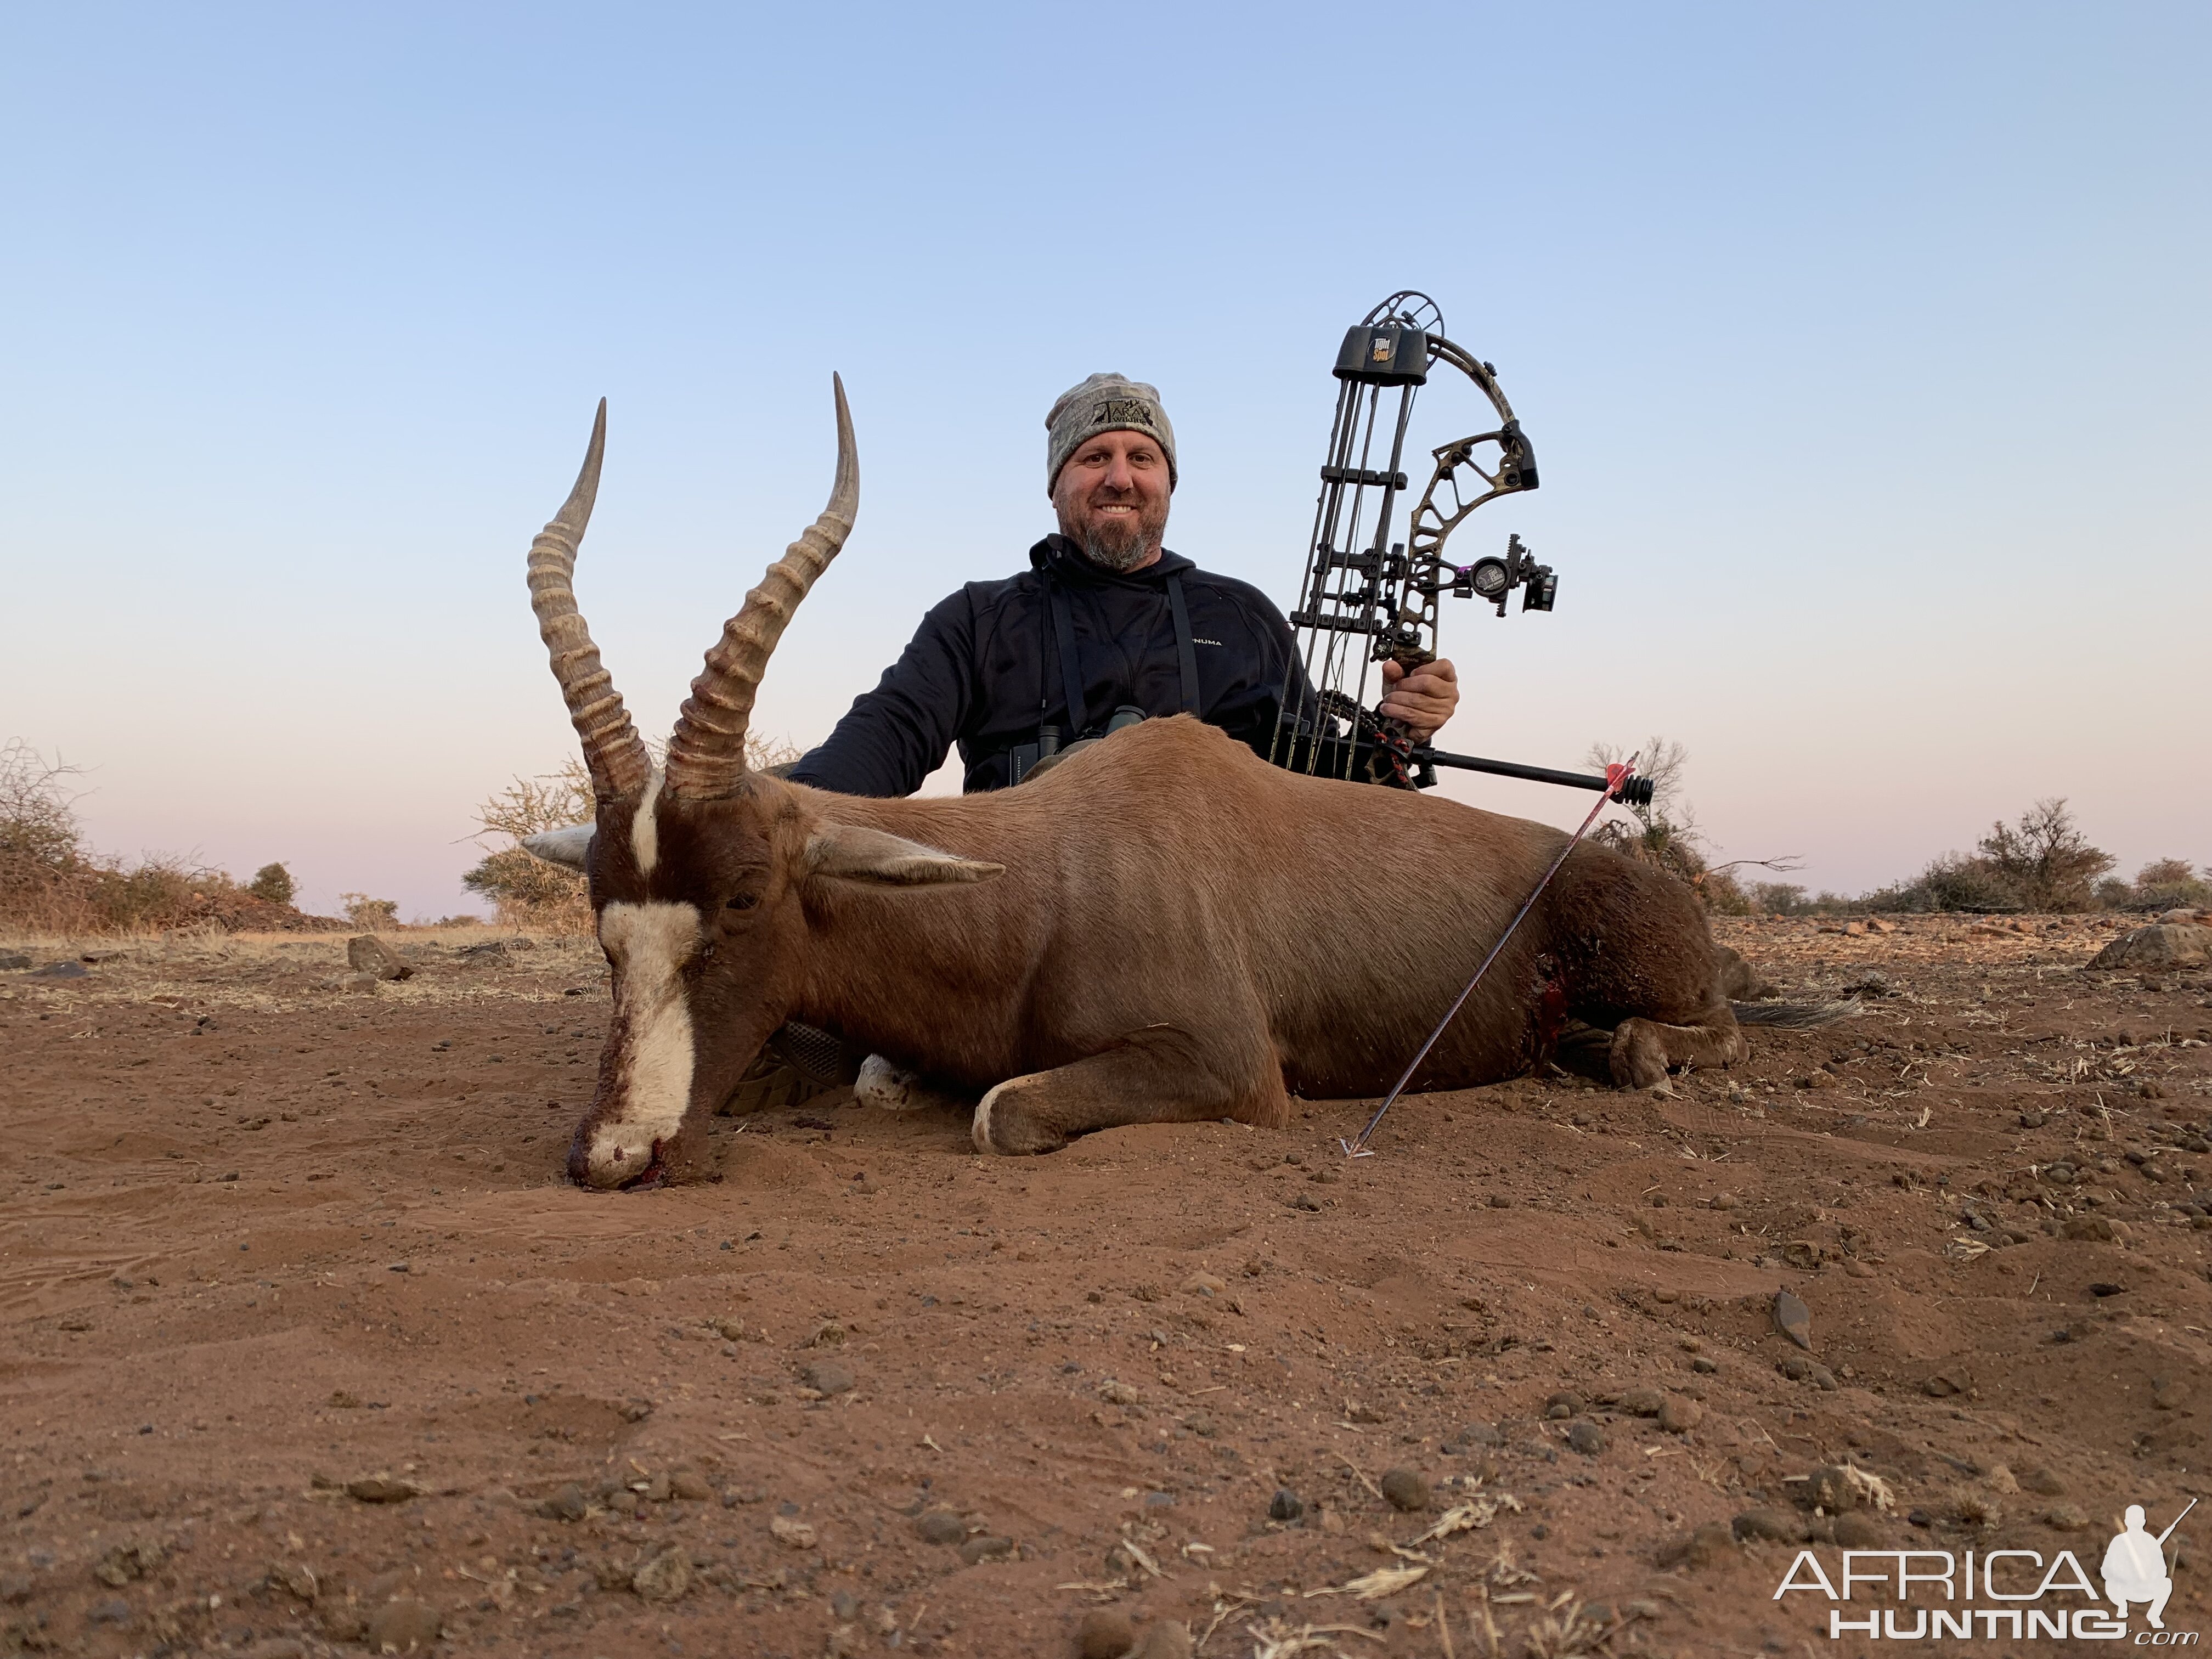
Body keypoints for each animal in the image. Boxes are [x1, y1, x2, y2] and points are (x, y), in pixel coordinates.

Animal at [526, 380, 1787, 1194]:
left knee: (1680, 1037)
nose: (614, 1154)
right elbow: (894, 1083)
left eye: (744, 895)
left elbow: (999, 1110)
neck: (1050, 877)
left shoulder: (1230, 1070)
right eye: (601, 917)